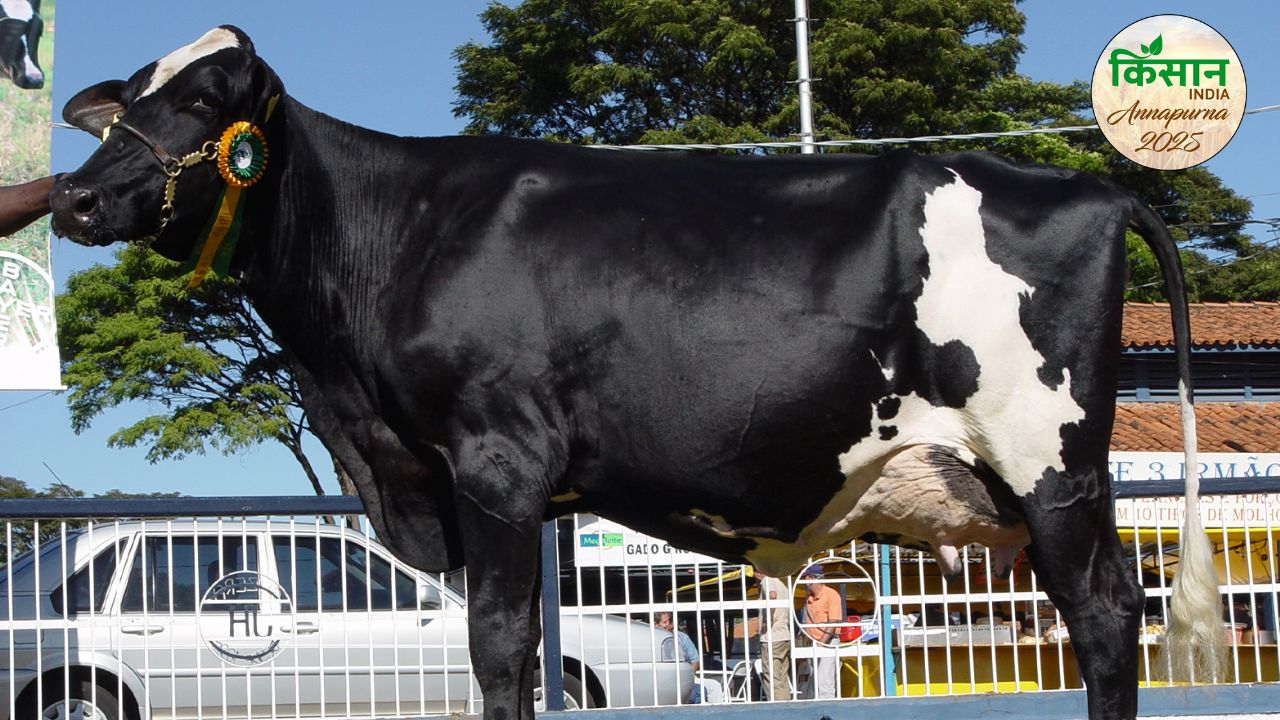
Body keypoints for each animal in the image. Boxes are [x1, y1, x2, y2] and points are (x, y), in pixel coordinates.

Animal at [49, 26, 1224, 720]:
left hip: (1050, 463)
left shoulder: (497, 462)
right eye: (127, 102)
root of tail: (1085, 188)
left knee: (1106, 617)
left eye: (207, 104)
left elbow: (499, 647)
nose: (73, 197)